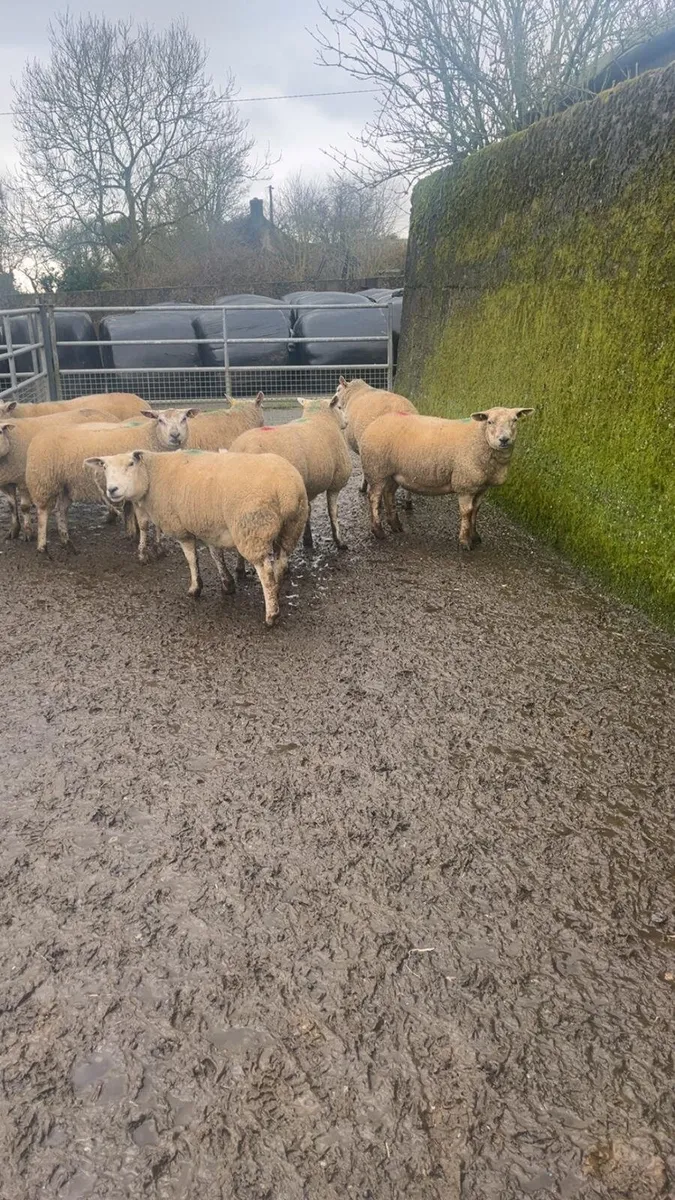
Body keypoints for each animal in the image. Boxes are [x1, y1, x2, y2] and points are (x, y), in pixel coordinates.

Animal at [0, 406, 117, 540]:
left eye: (0, 432)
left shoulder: (23, 479)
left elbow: (24, 507)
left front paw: (28, 533)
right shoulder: (5, 482)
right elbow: (11, 506)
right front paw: (13, 530)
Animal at [25, 407, 197, 554]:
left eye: (184, 419)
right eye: (160, 420)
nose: (175, 435)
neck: (150, 437)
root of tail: (37, 437)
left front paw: (152, 544)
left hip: (67, 485)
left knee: (60, 510)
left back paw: (67, 542)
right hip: (43, 481)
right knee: (43, 513)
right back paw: (42, 547)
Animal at [85, 448, 309, 626]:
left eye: (131, 464)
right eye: (104, 467)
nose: (112, 490)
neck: (152, 475)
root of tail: (285, 489)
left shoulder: (181, 528)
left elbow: (192, 559)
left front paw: (195, 588)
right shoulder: (210, 526)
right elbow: (216, 555)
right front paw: (227, 584)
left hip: (253, 530)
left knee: (266, 572)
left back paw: (271, 614)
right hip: (291, 527)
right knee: (281, 562)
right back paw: (277, 592)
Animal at [230, 396, 352, 551]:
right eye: (340, 407)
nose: (347, 421)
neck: (319, 417)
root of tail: (244, 448)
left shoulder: (306, 487)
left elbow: (308, 511)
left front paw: (307, 540)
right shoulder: (336, 482)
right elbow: (333, 512)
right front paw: (339, 541)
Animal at [360, 406, 534, 547]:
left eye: (515, 420)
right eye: (490, 422)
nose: (504, 440)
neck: (480, 439)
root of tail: (375, 422)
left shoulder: (482, 487)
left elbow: (476, 510)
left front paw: (475, 536)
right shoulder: (465, 484)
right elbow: (467, 512)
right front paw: (465, 541)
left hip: (393, 473)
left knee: (388, 494)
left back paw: (395, 525)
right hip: (376, 470)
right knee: (374, 498)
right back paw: (378, 531)